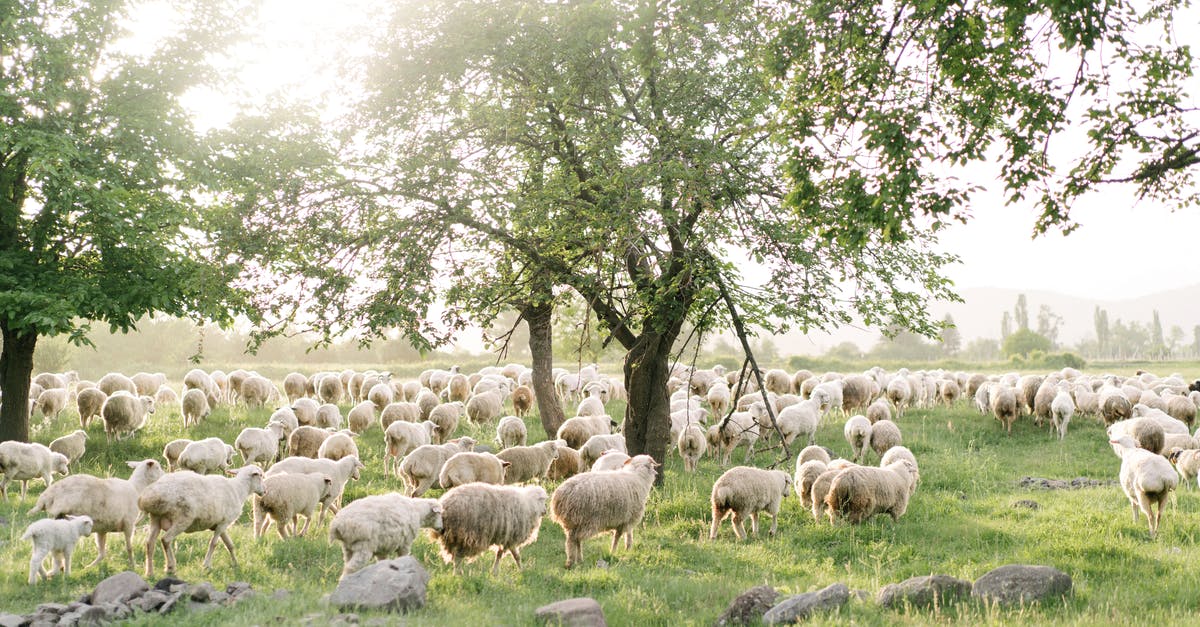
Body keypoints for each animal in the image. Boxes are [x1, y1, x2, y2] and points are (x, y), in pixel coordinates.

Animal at [28, 459, 165, 568]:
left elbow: (102, 552)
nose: (165, 475)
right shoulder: (129, 523)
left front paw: (88, 567)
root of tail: (46, 497)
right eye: (158, 467)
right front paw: (133, 565)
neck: (136, 488)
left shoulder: (102, 529)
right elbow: (129, 548)